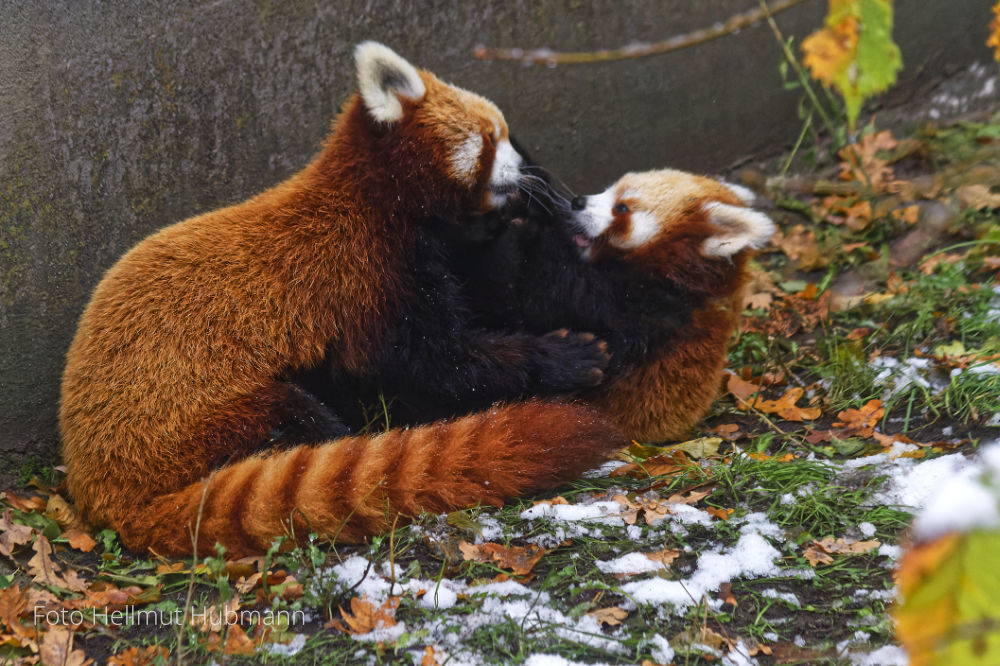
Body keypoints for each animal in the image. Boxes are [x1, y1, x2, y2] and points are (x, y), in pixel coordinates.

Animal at [58, 42, 620, 556]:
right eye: (493, 138)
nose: (532, 169)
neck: (380, 200)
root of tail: (108, 497)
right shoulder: (365, 275)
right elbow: (436, 363)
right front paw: (566, 355)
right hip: (203, 416)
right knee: (297, 421)